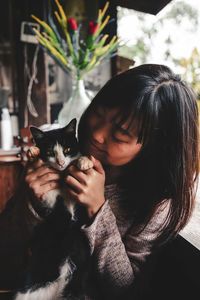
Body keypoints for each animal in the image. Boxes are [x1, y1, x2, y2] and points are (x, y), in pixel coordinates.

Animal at [14, 119, 94, 300]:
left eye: (67, 149)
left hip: (77, 288)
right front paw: (33, 151)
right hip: (29, 287)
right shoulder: (49, 201)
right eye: (50, 151)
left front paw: (85, 161)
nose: (61, 163)